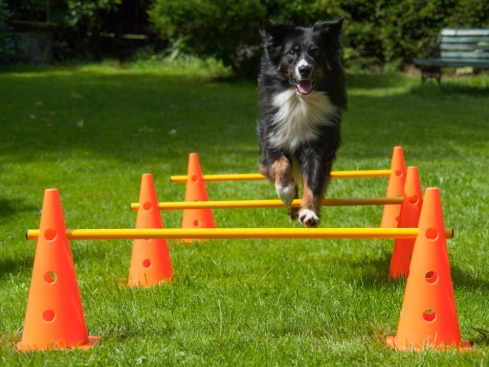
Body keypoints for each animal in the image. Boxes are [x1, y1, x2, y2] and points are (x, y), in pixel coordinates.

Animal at [255, 19, 346, 230]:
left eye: (316, 52)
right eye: (291, 52)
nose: (304, 69)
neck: (299, 101)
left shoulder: (317, 147)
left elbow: (313, 181)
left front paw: (309, 213)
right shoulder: (272, 140)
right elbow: (281, 164)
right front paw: (286, 192)